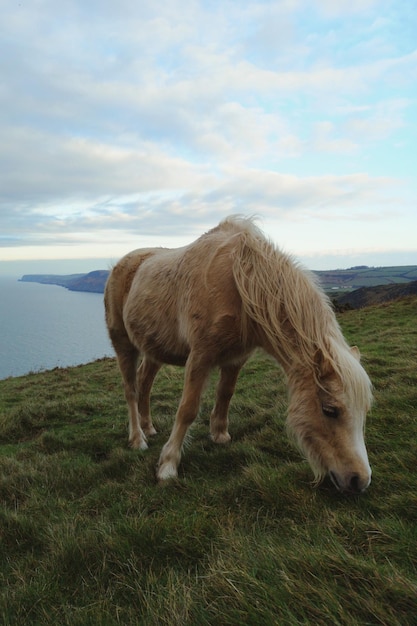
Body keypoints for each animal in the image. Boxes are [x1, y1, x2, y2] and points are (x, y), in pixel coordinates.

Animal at [105, 217, 372, 490]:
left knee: (145, 384)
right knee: (131, 390)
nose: (359, 480)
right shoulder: (200, 356)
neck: (239, 283)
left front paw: (220, 434)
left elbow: (226, 393)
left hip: (154, 350)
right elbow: (188, 409)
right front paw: (168, 465)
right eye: (330, 410)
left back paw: (148, 428)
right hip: (123, 343)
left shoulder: (236, 358)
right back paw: (138, 439)